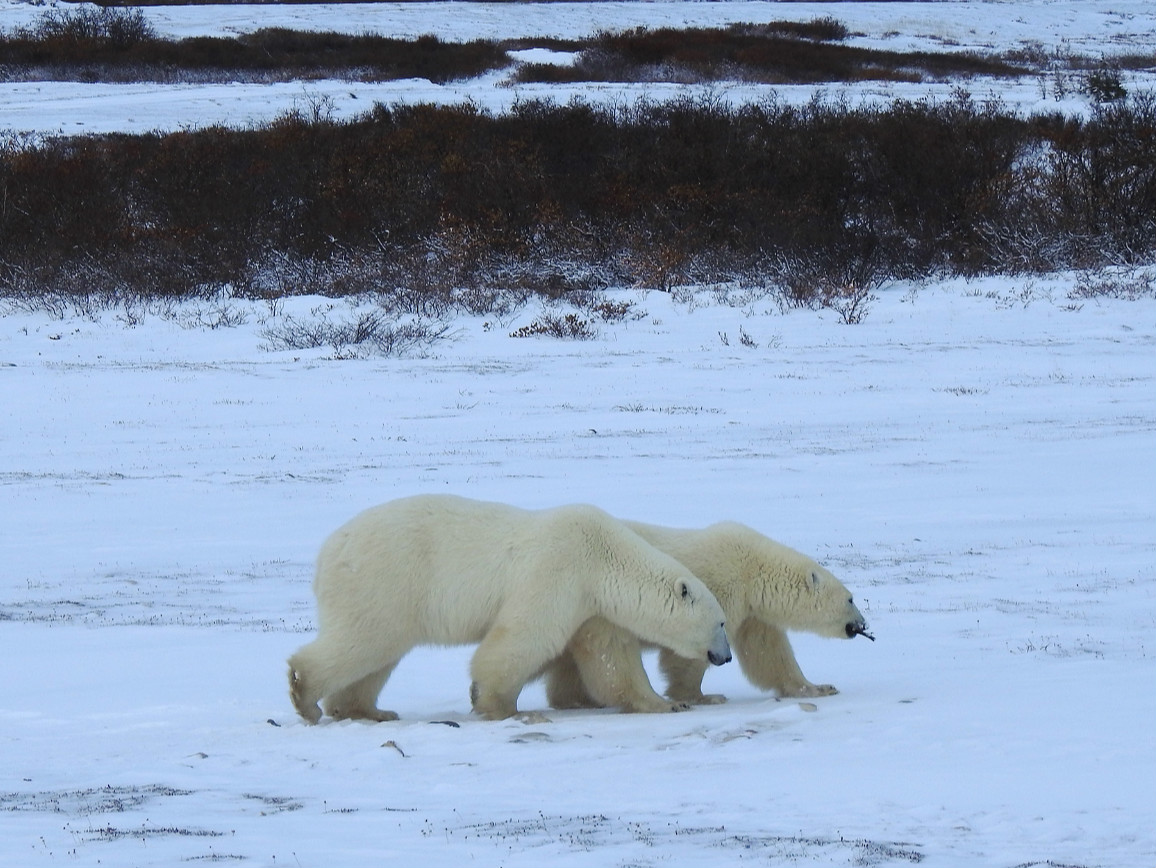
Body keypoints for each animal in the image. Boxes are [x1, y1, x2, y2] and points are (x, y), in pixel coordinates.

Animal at [284, 494, 725, 725]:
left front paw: (667, 703)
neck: (604, 554)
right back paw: (305, 695)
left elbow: (611, 659)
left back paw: (367, 710)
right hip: (383, 580)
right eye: (720, 622)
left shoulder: (592, 605)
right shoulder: (557, 570)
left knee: (374, 655)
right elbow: (524, 637)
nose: (724, 657)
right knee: (362, 640)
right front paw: (496, 703)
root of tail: (329, 551)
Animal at [545, 522, 869, 711]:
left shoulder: (751, 611)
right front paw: (701, 696)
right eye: (851, 599)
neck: (752, 568)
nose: (863, 625)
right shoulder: (718, 587)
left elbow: (767, 653)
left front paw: (818, 687)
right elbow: (690, 649)